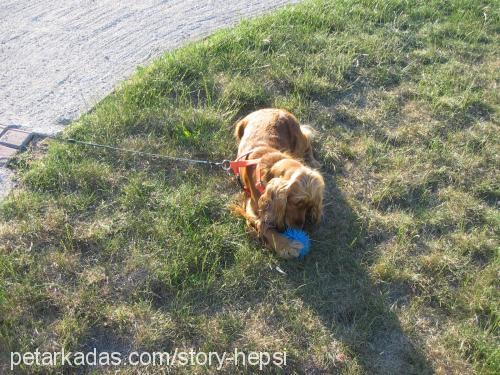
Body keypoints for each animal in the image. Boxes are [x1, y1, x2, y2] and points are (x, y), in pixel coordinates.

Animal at [231, 108, 324, 258]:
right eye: (297, 203)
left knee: (307, 141)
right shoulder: (250, 205)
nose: (300, 227)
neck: (271, 165)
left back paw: (313, 161)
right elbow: (263, 224)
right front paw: (286, 244)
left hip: (298, 139)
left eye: (309, 205)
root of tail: (275, 109)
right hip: (239, 128)